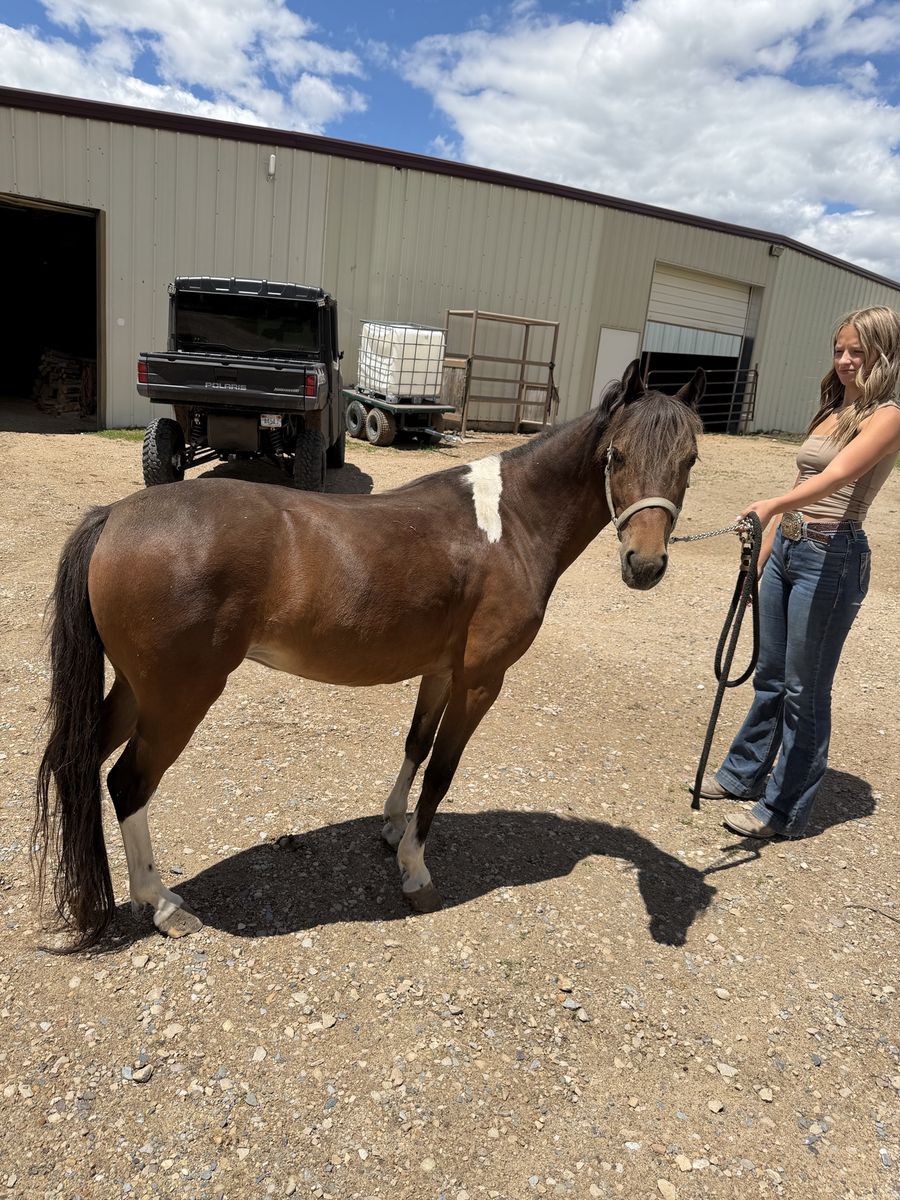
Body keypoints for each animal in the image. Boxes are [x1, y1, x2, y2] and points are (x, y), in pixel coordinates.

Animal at [34, 360, 704, 950]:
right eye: (616, 455)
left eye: (689, 459)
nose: (645, 565)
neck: (509, 524)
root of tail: (115, 516)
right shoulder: (480, 680)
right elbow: (442, 771)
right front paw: (415, 872)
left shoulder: (441, 670)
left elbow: (416, 746)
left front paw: (391, 828)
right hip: (178, 698)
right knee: (128, 783)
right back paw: (163, 905)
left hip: (135, 690)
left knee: (78, 763)